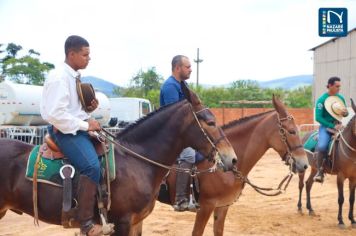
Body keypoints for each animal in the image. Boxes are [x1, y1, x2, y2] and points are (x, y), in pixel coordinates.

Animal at [298, 98, 356, 228]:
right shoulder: (340, 176)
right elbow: (341, 199)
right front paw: (341, 221)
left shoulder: (354, 178)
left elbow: (352, 199)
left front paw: (352, 220)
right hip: (302, 168)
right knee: (301, 185)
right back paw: (299, 208)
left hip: (315, 168)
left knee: (308, 184)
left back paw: (310, 209)